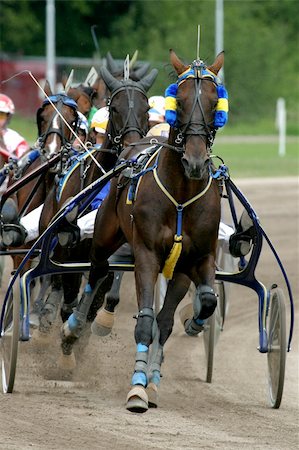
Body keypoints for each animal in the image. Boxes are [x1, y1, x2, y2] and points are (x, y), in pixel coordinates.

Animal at [61, 50, 225, 412]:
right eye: (179, 100)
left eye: (214, 101)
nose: (194, 161)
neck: (180, 196)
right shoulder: (147, 254)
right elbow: (147, 319)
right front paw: (137, 385)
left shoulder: (195, 260)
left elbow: (197, 304)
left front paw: (193, 323)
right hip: (106, 235)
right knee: (97, 269)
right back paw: (72, 329)